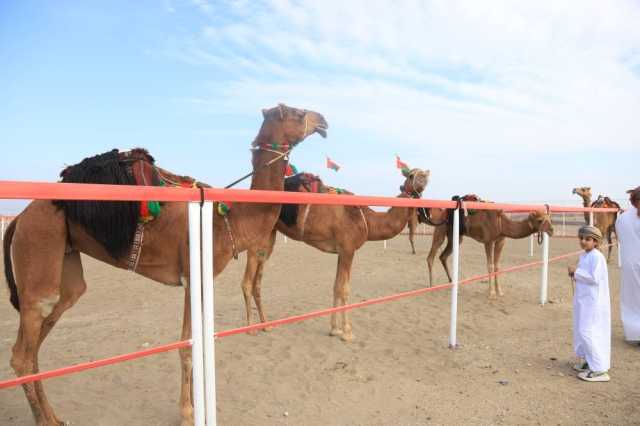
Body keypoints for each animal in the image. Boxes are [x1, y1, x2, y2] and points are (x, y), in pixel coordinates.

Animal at [1, 104, 330, 426]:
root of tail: (19, 218)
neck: (227, 219)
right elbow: (187, 345)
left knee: (42, 336)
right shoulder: (193, 275)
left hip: (65, 262)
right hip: (39, 247)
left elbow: (195, 342)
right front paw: (187, 413)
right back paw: (44, 419)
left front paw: (192, 407)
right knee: (22, 351)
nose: (323, 121)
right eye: (298, 113)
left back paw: (55, 417)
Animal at [240, 168, 430, 342]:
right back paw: (250, 328)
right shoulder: (348, 248)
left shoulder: (341, 251)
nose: (426, 174)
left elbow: (336, 286)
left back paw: (266, 325)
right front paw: (347, 332)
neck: (367, 220)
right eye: (412, 175)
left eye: (421, 173)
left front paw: (334, 329)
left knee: (258, 281)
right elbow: (344, 288)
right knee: (247, 281)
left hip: (269, 236)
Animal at [422, 196, 552, 300]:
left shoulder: (501, 241)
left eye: (549, 218)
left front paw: (500, 291)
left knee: (443, 256)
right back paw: (432, 285)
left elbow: (497, 266)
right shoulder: (488, 241)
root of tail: (442, 213)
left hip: (456, 237)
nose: (552, 230)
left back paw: (451, 281)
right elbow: (490, 265)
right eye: (540, 220)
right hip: (441, 228)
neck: (501, 223)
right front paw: (491, 293)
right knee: (431, 256)